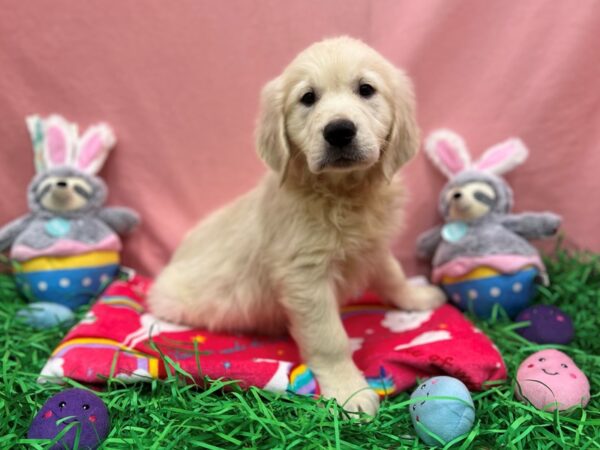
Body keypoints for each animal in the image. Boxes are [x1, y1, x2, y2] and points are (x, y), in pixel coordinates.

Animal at [148, 37, 442, 416]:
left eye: (366, 89)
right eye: (308, 98)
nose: (339, 131)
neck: (343, 192)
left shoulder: (372, 246)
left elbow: (392, 274)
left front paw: (416, 296)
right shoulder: (305, 275)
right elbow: (329, 337)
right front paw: (349, 391)